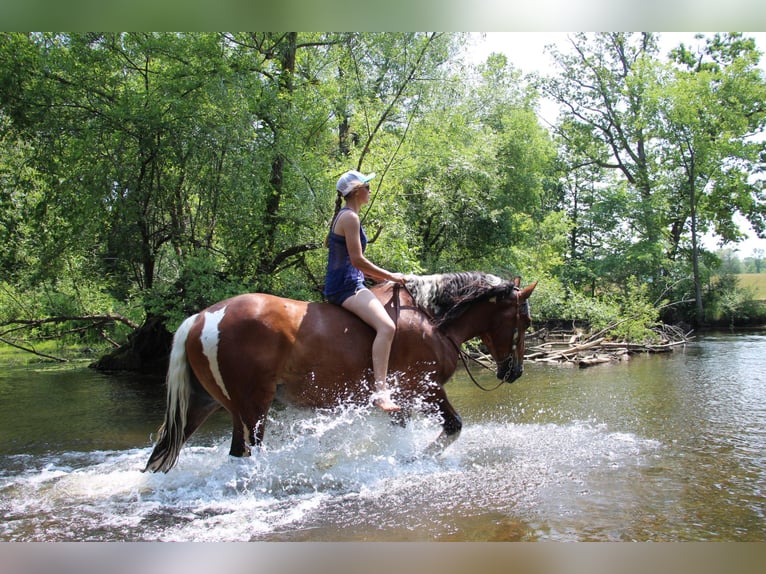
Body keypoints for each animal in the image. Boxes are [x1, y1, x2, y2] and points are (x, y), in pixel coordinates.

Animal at [146, 274, 540, 472]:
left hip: (208, 405)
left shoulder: (404, 401)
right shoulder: (425, 389)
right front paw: (414, 459)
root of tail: (201, 317)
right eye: (525, 321)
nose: (515, 371)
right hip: (254, 408)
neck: (431, 319)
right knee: (251, 452)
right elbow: (454, 426)